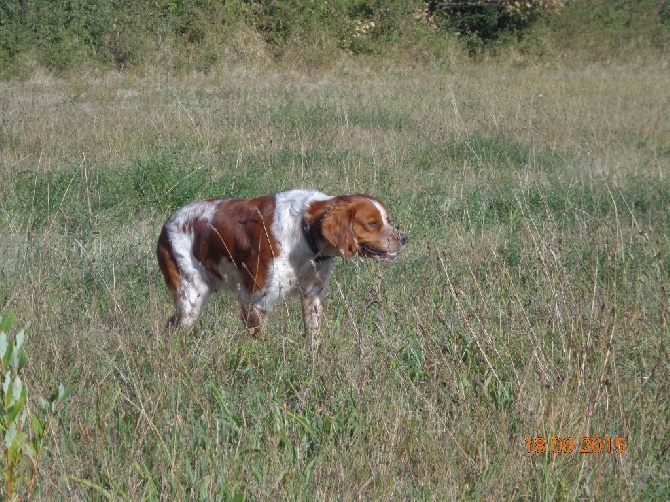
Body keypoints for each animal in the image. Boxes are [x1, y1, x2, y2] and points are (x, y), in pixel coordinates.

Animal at [158, 190, 410, 348]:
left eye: (387, 220)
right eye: (373, 223)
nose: (404, 238)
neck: (305, 232)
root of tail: (167, 223)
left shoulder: (312, 295)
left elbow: (313, 336)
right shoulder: (256, 301)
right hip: (191, 297)